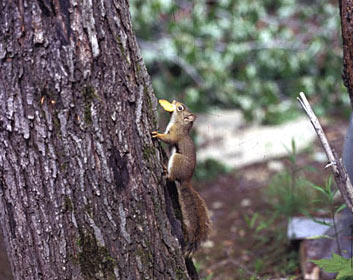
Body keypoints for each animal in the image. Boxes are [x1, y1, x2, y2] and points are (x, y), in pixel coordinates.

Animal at [151, 99, 210, 258]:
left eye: (180, 108)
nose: (174, 101)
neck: (179, 124)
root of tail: (185, 181)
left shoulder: (175, 134)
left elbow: (169, 139)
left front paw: (157, 135)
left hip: (177, 160)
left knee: (171, 178)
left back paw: (165, 172)